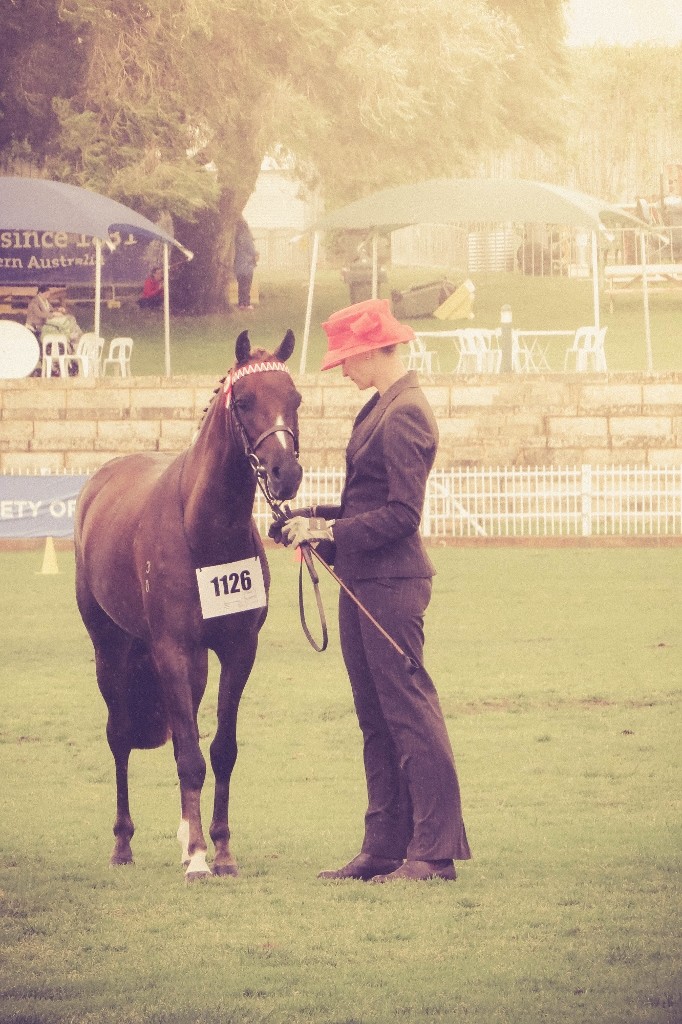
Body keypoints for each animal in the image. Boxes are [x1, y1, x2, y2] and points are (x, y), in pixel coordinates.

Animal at [74, 329, 302, 880]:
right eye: (244, 401)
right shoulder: (172, 651)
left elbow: (218, 751)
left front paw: (219, 849)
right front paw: (199, 856)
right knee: (120, 737)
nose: (285, 473)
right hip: (111, 651)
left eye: (296, 399)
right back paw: (123, 845)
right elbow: (189, 757)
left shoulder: (238, 651)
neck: (205, 529)